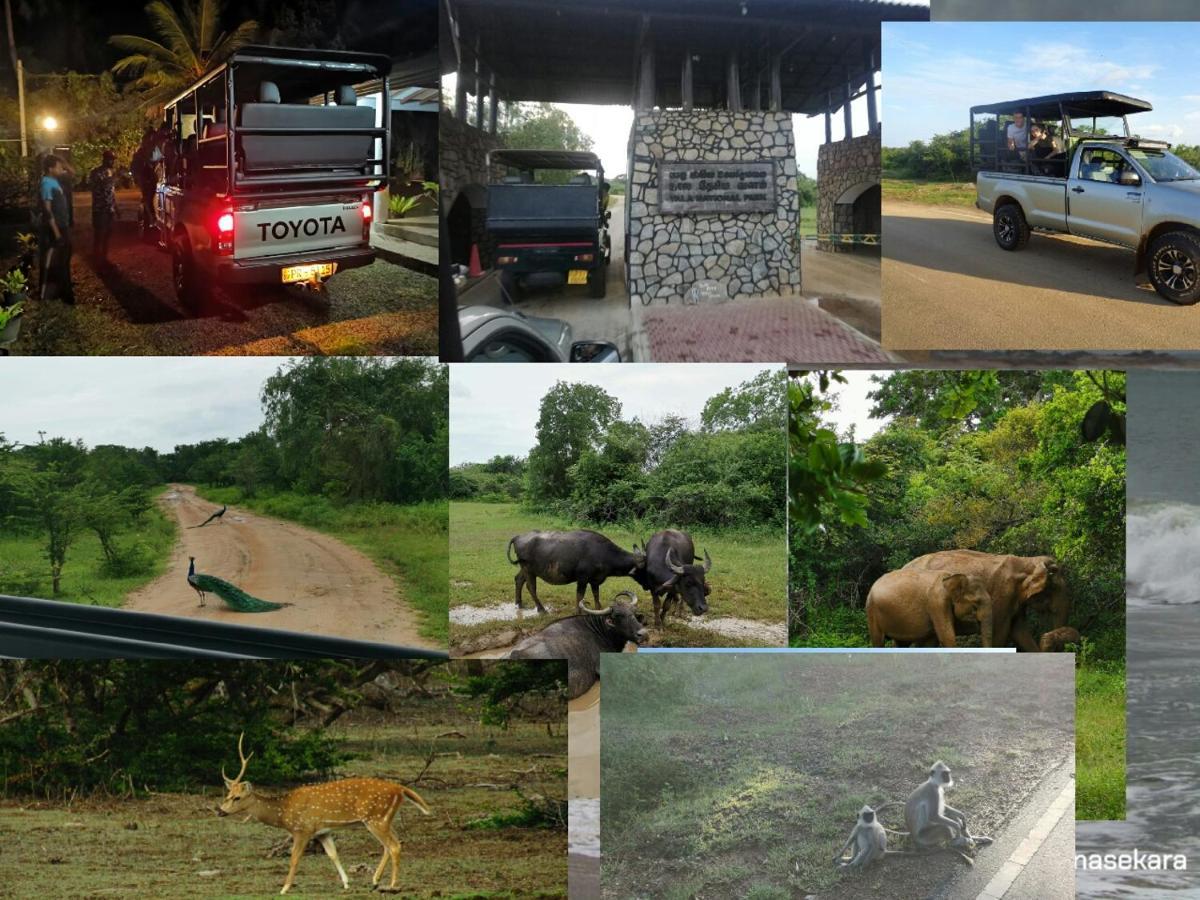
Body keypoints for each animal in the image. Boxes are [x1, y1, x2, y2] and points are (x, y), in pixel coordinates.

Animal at [217, 734, 432, 897]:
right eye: (227, 794)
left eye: (237, 797)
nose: (220, 810)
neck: (285, 812)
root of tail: (400, 789)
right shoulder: (322, 832)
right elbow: (333, 854)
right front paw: (346, 883)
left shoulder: (303, 829)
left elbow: (295, 857)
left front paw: (284, 888)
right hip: (384, 818)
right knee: (392, 843)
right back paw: (375, 881)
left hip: (376, 819)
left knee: (394, 846)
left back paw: (392, 885)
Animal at [506, 532, 648, 619]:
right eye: (644, 569)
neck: (603, 553)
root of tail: (518, 537)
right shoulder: (582, 579)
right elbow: (580, 596)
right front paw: (578, 612)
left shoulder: (595, 580)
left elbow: (596, 595)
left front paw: (598, 609)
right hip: (529, 570)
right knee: (531, 587)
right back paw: (542, 610)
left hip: (525, 569)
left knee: (518, 580)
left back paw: (519, 604)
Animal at [864, 571, 993, 648]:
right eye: (975, 605)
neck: (951, 576)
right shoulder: (937, 603)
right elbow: (947, 636)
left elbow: (932, 641)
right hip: (872, 611)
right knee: (878, 641)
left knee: (901, 644)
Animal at [902, 554, 1075, 652]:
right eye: (1055, 587)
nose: (1049, 636)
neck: (1026, 561)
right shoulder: (1002, 593)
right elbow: (1000, 632)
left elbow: (1019, 631)